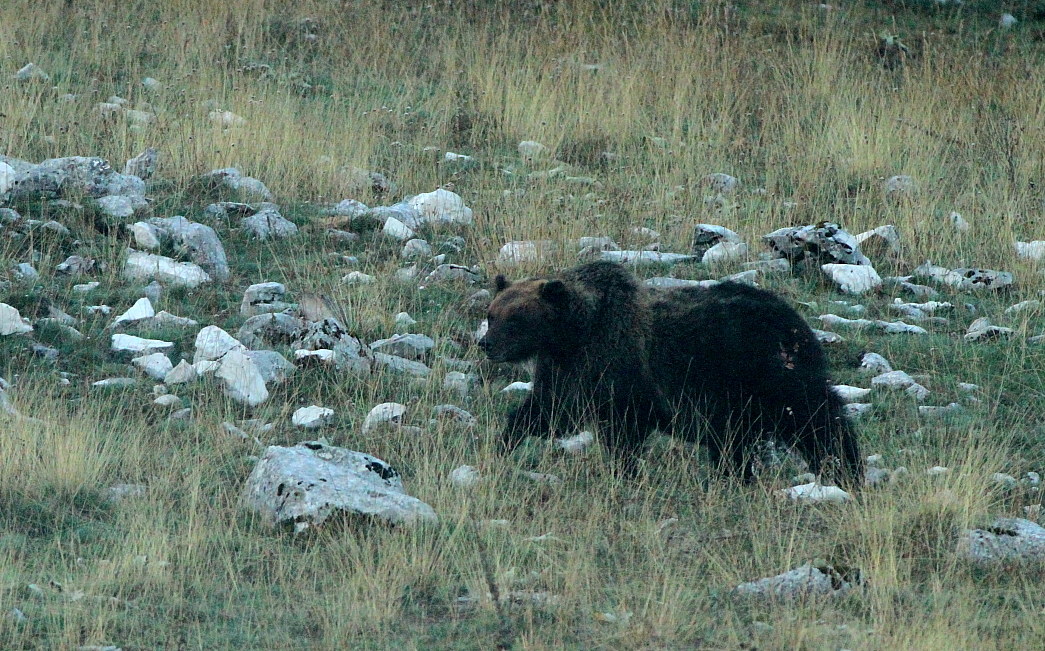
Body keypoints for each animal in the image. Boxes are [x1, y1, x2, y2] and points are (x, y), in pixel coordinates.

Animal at [478, 260, 863, 488]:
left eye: (516, 319)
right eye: (492, 313)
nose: (486, 343)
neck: (575, 333)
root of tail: (796, 323)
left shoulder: (621, 372)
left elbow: (622, 433)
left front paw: (625, 473)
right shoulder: (568, 373)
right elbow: (547, 412)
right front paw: (503, 443)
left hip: (758, 376)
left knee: (817, 421)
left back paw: (844, 467)